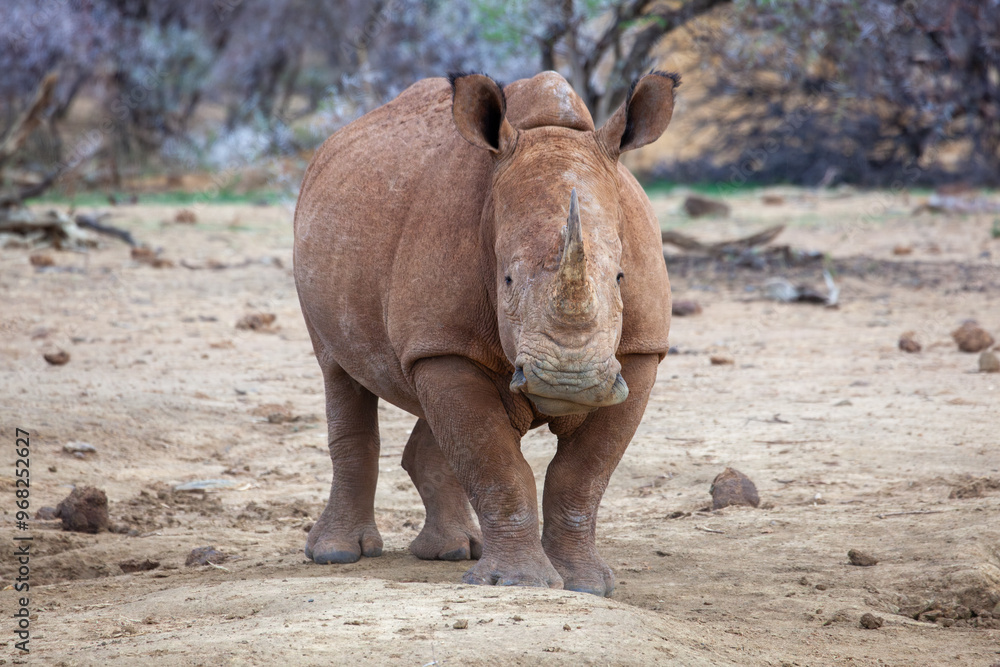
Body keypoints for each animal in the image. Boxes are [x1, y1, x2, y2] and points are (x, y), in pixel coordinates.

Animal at [293, 70, 675, 596]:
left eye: (620, 277)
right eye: (507, 280)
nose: (570, 383)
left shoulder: (640, 352)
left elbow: (583, 473)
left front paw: (585, 585)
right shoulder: (443, 346)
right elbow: (495, 463)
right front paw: (516, 583)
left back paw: (454, 551)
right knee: (338, 373)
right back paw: (336, 555)